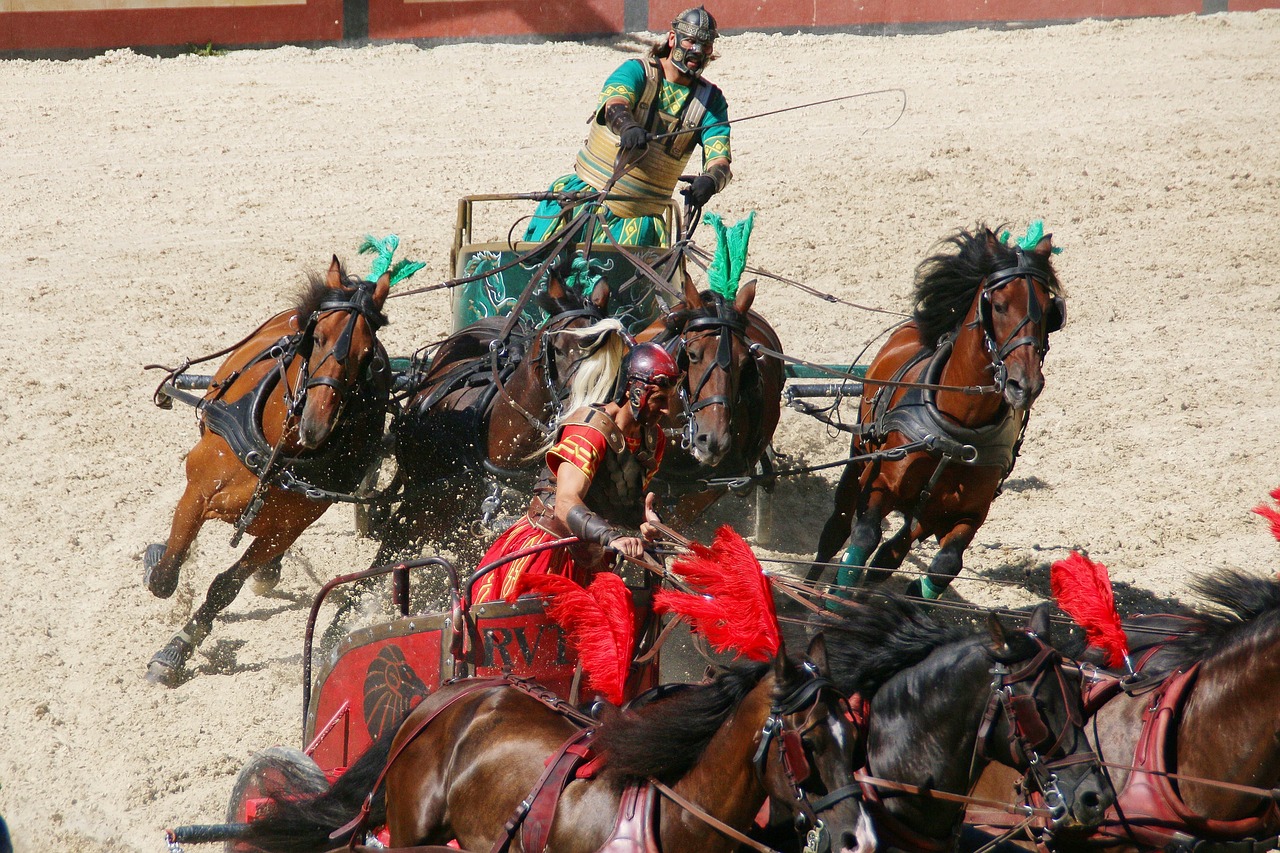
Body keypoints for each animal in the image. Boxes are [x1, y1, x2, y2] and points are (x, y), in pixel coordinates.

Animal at [141, 256, 389, 681]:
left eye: (367, 354)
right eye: (317, 338)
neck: (276, 453)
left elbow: (224, 587)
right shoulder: (197, 492)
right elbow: (168, 570)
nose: (315, 425)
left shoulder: (283, 530)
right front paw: (155, 559)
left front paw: (179, 647)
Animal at [808, 222, 1070, 601]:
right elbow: (863, 539)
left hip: (927, 508)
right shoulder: (879, 484)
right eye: (1000, 305)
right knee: (838, 528)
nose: (1025, 385)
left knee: (894, 551)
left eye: (1051, 313)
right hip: (859, 457)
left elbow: (944, 566)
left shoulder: (968, 513)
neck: (958, 425)